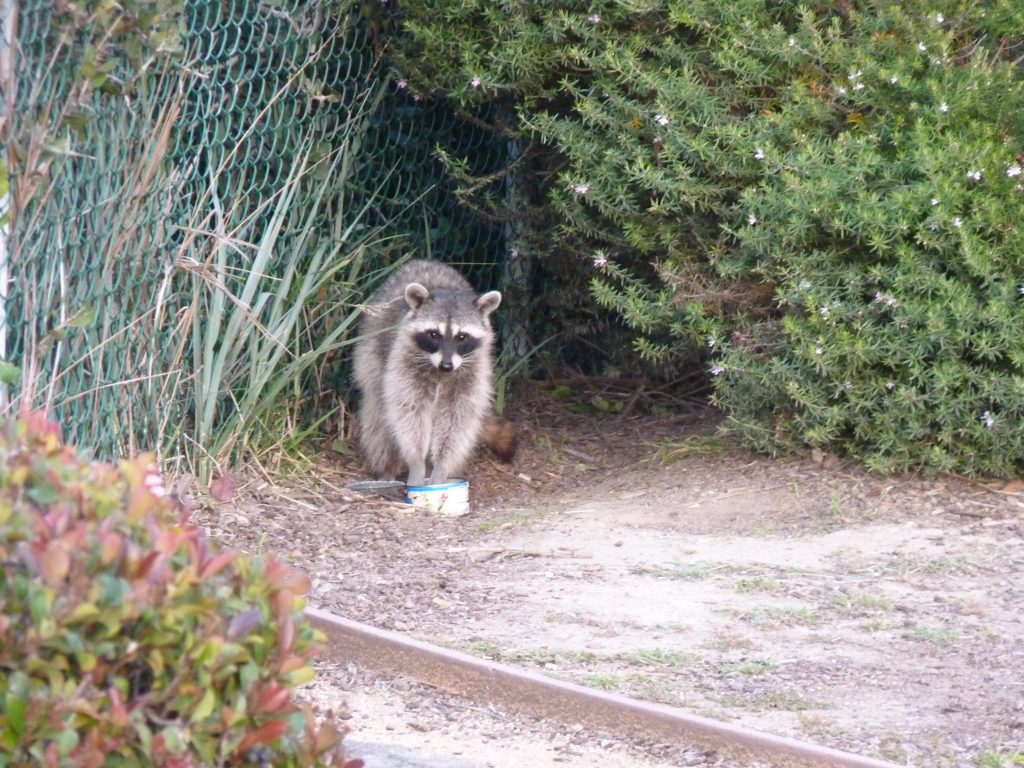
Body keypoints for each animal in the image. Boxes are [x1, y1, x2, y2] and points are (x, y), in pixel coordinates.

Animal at [353, 260, 503, 486]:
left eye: (462, 337)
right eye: (434, 334)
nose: (447, 366)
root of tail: (424, 261)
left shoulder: (472, 371)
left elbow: (457, 419)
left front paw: (440, 466)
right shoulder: (403, 360)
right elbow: (409, 412)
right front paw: (416, 462)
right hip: (371, 355)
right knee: (379, 418)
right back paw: (386, 467)